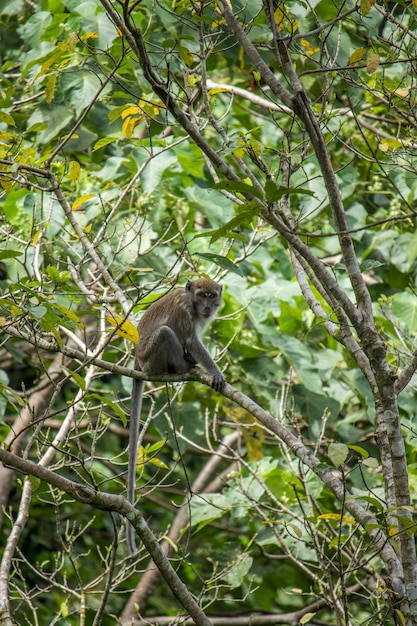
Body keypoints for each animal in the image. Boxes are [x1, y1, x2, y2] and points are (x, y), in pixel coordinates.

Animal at [126, 278, 224, 552]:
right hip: (152, 360)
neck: (190, 301)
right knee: (166, 333)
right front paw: (215, 372)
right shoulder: (184, 312)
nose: (207, 307)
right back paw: (182, 367)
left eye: (212, 296)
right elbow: (192, 341)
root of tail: (138, 363)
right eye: (201, 295)